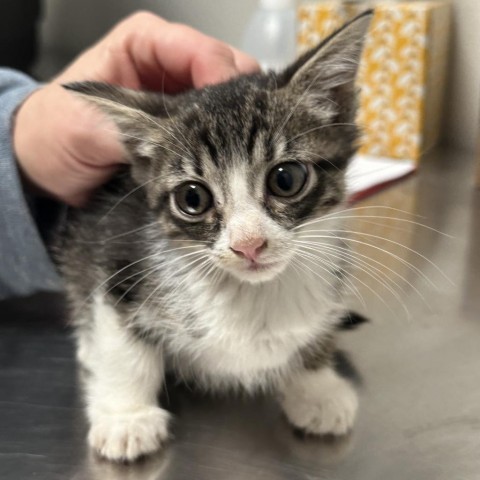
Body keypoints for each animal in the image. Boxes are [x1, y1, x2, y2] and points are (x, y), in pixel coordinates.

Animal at [55, 12, 372, 462]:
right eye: (193, 198)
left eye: (286, 179)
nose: (249, 244)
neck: (251, 294)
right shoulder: (112, 247)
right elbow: (123, 345)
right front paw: (127, 417)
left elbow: (318, 329)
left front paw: (317, 389)